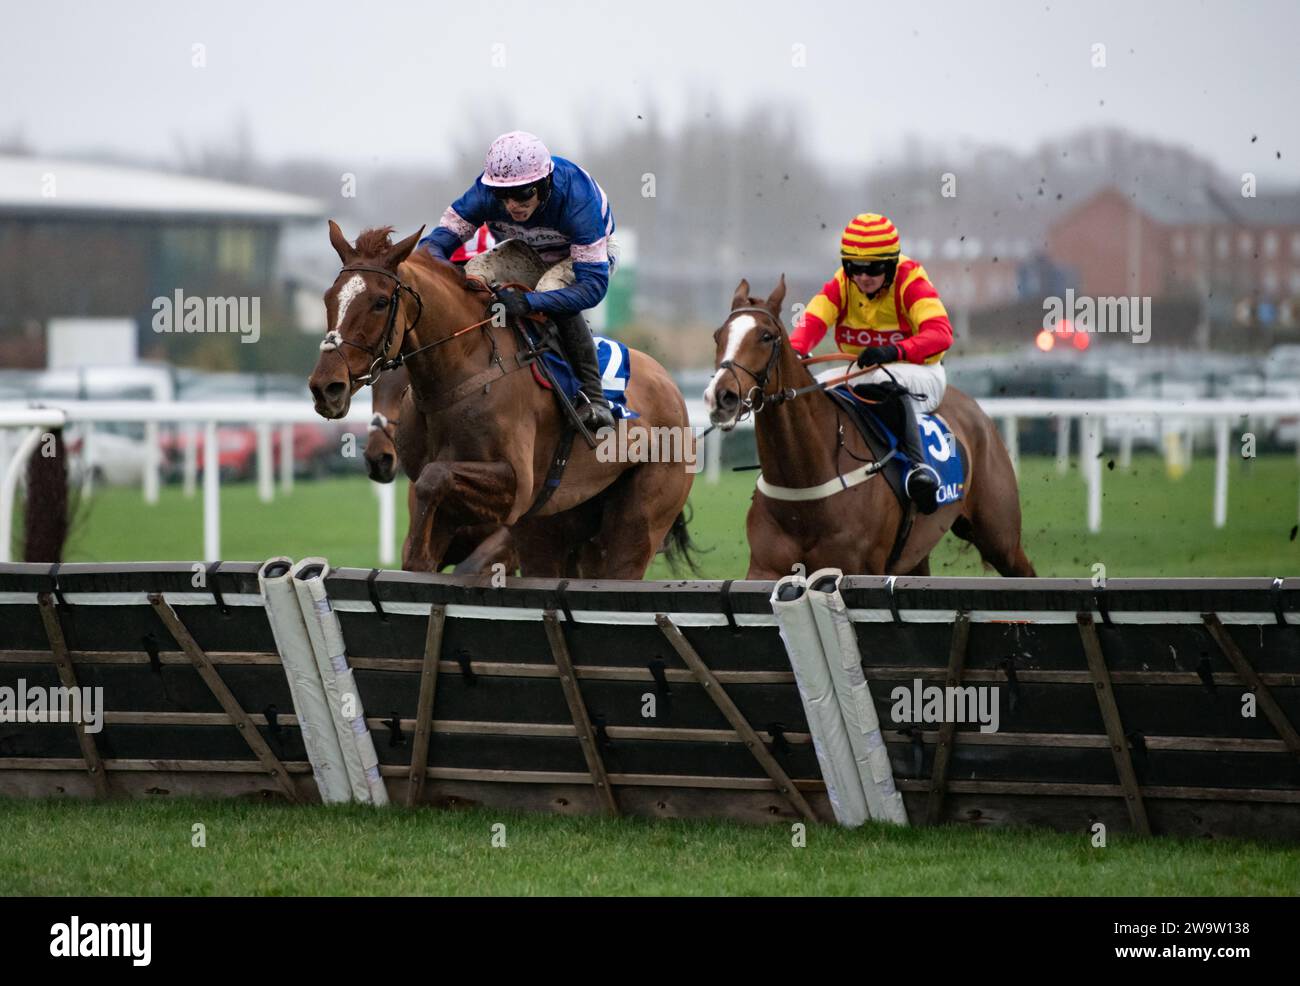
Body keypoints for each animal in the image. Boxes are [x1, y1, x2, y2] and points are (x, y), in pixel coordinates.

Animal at [309, 223, 696, 580]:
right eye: (328, 298)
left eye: (379, 302)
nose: (326, 387)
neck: (461, 375)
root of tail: (669, 385)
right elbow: (423, 535)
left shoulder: (516, 489)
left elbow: (437, 477)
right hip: (552, 526)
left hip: (636, 524)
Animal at [707, 275, 1029, 580]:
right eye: (717, 335)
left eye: (766, 336)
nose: (722, 396)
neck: (804, 483)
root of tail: (975, 409)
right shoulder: (764, 569)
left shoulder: (859, 568)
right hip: (916, 556)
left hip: (1000, 538)